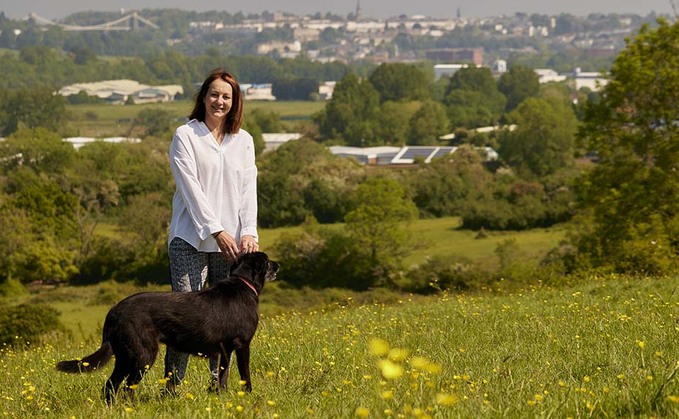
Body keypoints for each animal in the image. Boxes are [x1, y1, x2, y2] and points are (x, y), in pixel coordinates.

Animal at [55, 251, 278, 402]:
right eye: (267, 261)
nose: (278, 266)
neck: (243, 284)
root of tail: (114, 310)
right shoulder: (242, 345)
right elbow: (245, 374)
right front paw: (248, 394)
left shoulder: (225, 349)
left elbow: (222, 376)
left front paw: (221, 396)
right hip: (143, 355)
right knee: (127, 388)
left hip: (125, 356)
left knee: (110, 385)